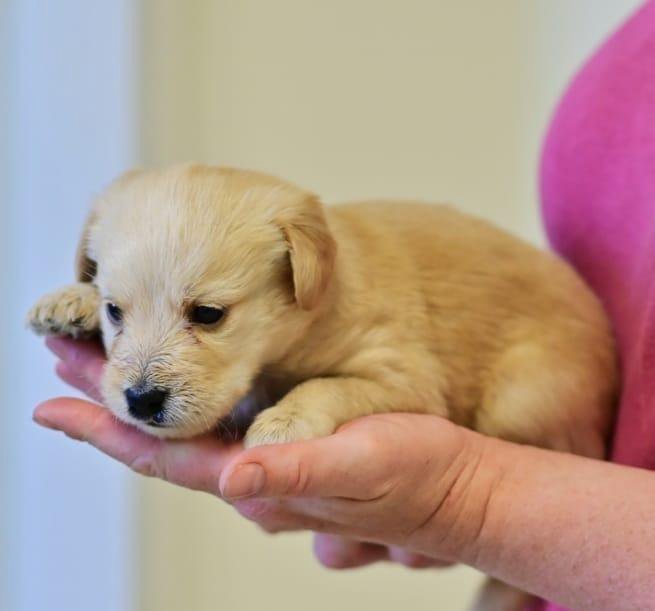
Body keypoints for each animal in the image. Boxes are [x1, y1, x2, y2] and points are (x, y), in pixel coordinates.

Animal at [28, 165, 616, 452]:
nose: (140, 401)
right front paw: (70, 299)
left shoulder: (401, 375)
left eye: (209, 314)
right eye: (115, 312)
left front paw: (285, 420)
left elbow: (326, 385)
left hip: (523, 397)